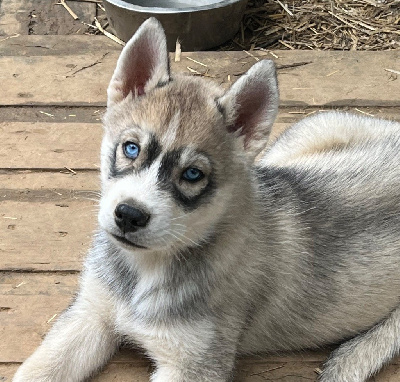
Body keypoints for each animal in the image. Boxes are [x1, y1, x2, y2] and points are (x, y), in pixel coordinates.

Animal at [14, 17, 400, 382]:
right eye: (131, 148)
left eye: (192, 175)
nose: (128, 215)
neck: (146, 269)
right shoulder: (89, 314)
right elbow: (36, 371)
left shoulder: (193, 364)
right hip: (302, 137)